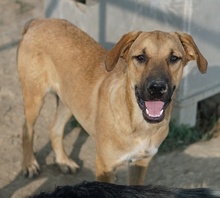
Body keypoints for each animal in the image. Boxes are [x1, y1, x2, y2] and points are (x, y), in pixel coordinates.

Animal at [16, 18, 206, 184]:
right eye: (140, 57)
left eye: (174, 58)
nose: (157, 88)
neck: (139, 126)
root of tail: (39, 21)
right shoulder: (104, 165)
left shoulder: (140, 164)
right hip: (35, 97)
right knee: (27, 128)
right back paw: (29, 164)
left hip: (69, 101)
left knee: (54, 128)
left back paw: (63, 161)